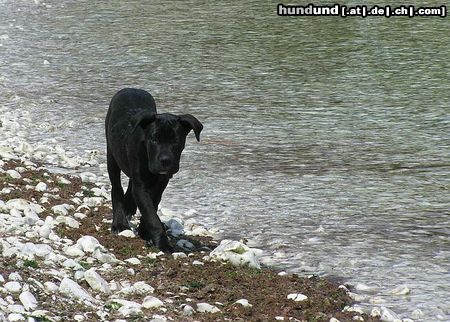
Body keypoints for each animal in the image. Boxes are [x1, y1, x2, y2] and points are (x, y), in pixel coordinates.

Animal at [104, 88, 203, 252]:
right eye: (154, 139)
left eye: (176, 141)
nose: (165, 160)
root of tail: (131, 88)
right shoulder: (141, 187)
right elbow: (150, 213)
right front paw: (162, 244)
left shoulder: (161, 183)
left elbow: (152, 207)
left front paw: (145, 232)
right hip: (111, 155)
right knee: (116, 188)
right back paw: (119, 223)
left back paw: (129, 207)